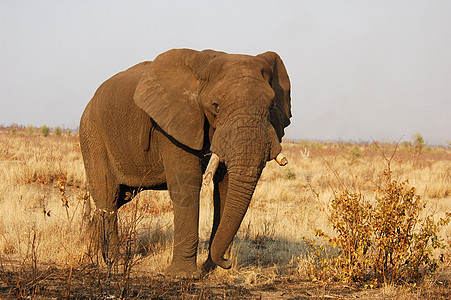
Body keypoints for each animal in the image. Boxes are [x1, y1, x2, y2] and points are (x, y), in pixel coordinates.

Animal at [80, 48, 294, 276]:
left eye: (272, 105)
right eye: (215, 105)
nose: (226, 262)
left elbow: (225, 188)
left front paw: (212, 270)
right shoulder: (173, 123)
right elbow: (186, 183)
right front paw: (183, 275)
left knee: (120, 197)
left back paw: (93, 249)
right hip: (92, 135)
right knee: (108, 196)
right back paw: (115, 263)